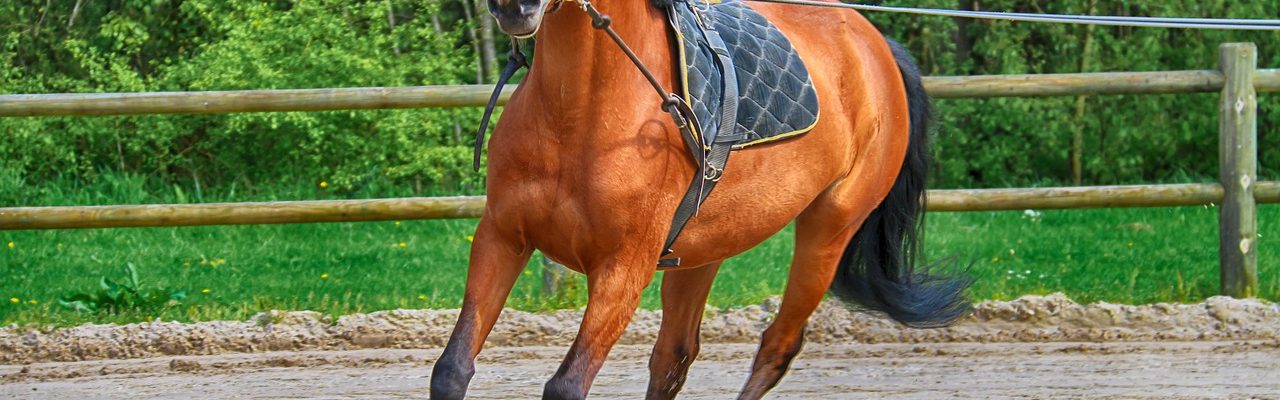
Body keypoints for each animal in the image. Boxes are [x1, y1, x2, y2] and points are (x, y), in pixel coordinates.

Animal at [430, 1, 967, 397]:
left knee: (776, 347)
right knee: (673, 358)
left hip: (829, 232)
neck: (576, 113)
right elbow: (452, 369)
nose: (513, 5)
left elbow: (567, 385)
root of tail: (875, 45)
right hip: (704, 249)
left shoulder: (623, 269)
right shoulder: (502, 237)